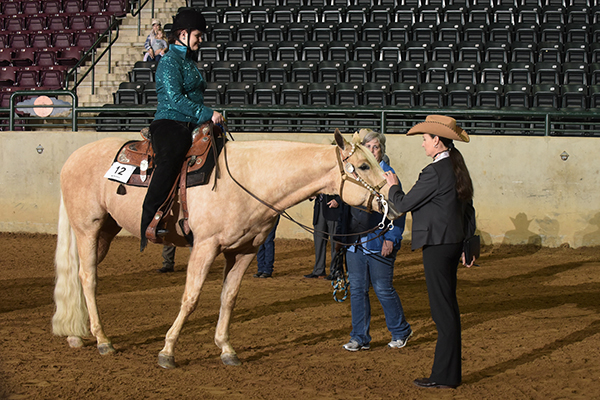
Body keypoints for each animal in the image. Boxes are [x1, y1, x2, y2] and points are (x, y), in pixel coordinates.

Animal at [51, 130, 398, 368]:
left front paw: (227, 349)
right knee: (88, 279)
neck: (250, 180)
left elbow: (228, 298)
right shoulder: (205, 247)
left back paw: (76, 334)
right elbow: (190, 298)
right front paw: (167, 351)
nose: (393, 204)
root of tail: (72, 158)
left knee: (81, 276)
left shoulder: (243, 251)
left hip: (105, 232)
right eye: (363, 166)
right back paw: (102, 340)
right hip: (88, 229)